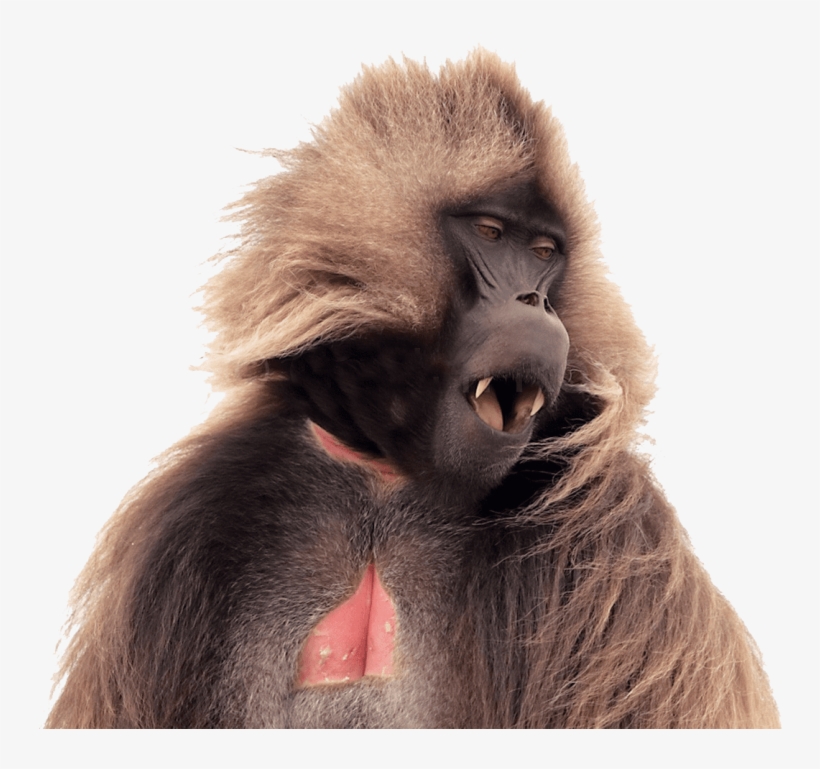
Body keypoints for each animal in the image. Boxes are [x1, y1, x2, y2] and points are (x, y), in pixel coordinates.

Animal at [46, 51, 780, 728]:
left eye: (545, 252)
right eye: (491, 234)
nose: (536, 303)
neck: (388, 475)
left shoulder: (616, 542)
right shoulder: (185, 527)